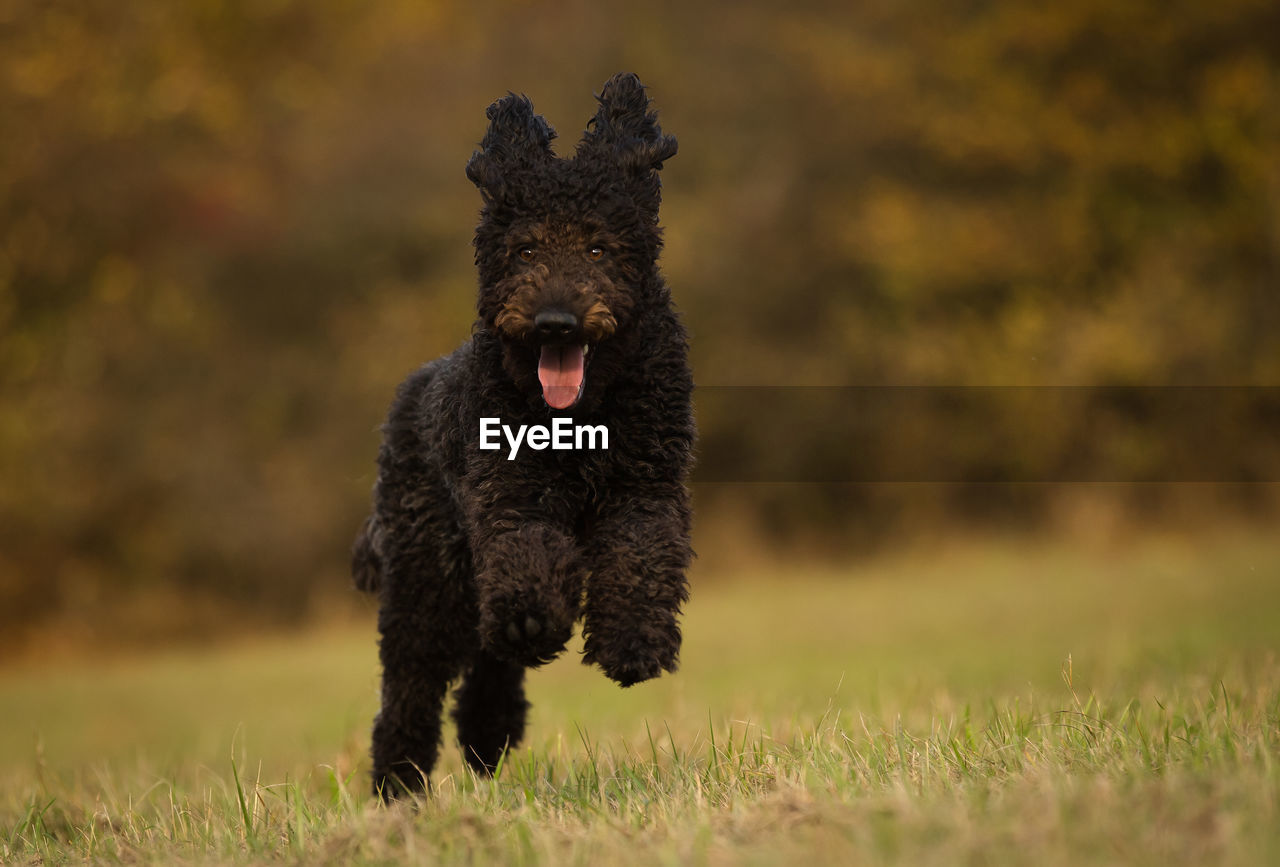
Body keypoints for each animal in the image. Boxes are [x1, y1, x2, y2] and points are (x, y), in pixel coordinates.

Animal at [353, 74, 691, 799]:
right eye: (526, 248)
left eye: (597, 246)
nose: (555, 321)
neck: (580, 416)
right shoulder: (512, 495)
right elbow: (530, 556)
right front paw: (540, 618)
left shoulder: (646, 487)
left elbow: (642, 557)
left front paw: (633, 645)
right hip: (427, 579)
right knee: (412, 687)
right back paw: (399, 786)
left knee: (488, 655)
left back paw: (487, 734)